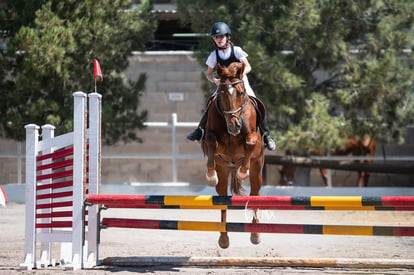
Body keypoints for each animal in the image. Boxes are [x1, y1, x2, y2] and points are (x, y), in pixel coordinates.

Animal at [202, 62, 264, 250]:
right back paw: (223, 239)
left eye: (241, 93)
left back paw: (255, 235)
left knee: (255, 194)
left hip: (257, 169)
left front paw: (242, 172)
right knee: (222, 199)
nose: (235, 125)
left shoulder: (252, 140)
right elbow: (211, 141)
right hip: (224, 170)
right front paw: (210, 176)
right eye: (221, 94)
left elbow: (250, 142)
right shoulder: (212, 142)